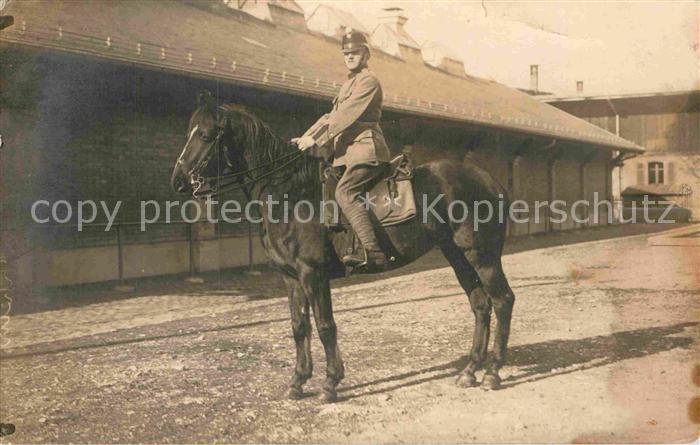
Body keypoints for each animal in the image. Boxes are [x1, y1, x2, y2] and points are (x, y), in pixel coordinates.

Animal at [171, 91, 516, 402]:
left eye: (204, 135)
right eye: (188, 132)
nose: (179, 181)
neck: (290, 193)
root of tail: (491, 182)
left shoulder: (313, 274)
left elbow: (325, 326)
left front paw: (330, 383)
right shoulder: (291, 277)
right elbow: (299, 326)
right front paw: (298, 382)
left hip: (482, 256)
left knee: (502, 301)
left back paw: (492, 373)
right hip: (457, 256)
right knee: (480, 305)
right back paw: (470, 371)